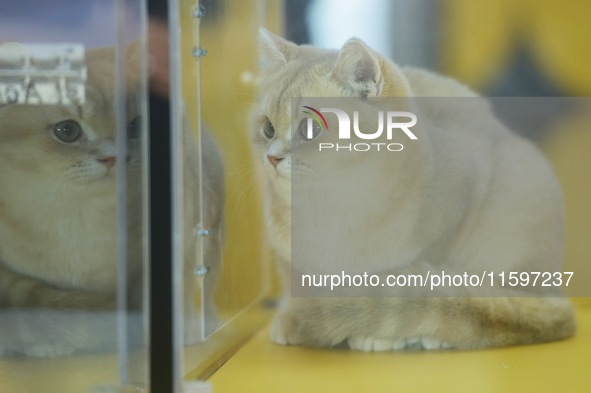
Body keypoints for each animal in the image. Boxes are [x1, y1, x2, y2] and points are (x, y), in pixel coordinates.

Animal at [252, 29, 576, 350]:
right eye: (268, 128)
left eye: (311, 129)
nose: (272, 157)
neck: (332, 205)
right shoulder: (289, 260)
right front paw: (289, 315)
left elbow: (411, 291)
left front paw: (382, 334)